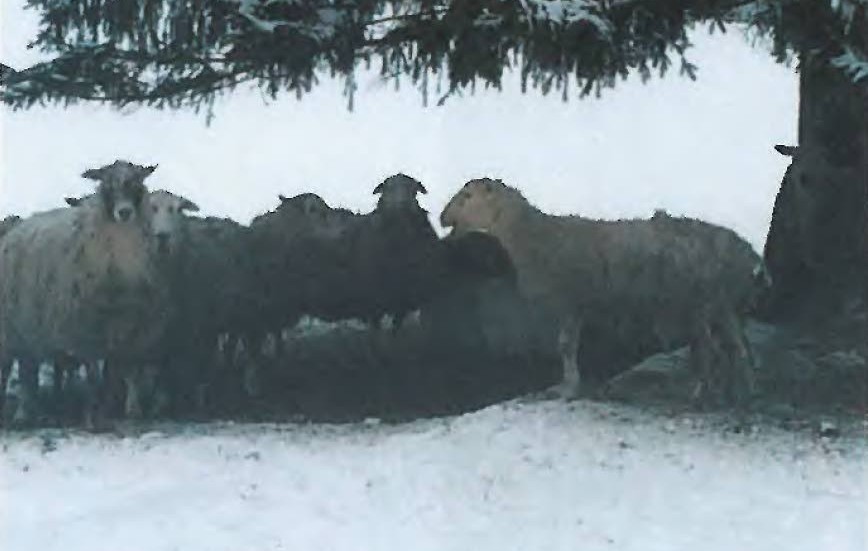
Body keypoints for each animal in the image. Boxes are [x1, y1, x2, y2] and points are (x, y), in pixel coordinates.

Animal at [444, 179, 764, 408]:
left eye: (468, 196)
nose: (443, 217)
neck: (532, 236)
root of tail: (746, 250)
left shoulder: (571, 301)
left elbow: (565, 345)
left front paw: (569, 387)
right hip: (720, 305)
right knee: (738, 347)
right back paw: (742, 391)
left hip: (700, 304)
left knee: (713, 350)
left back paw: (701, 394)